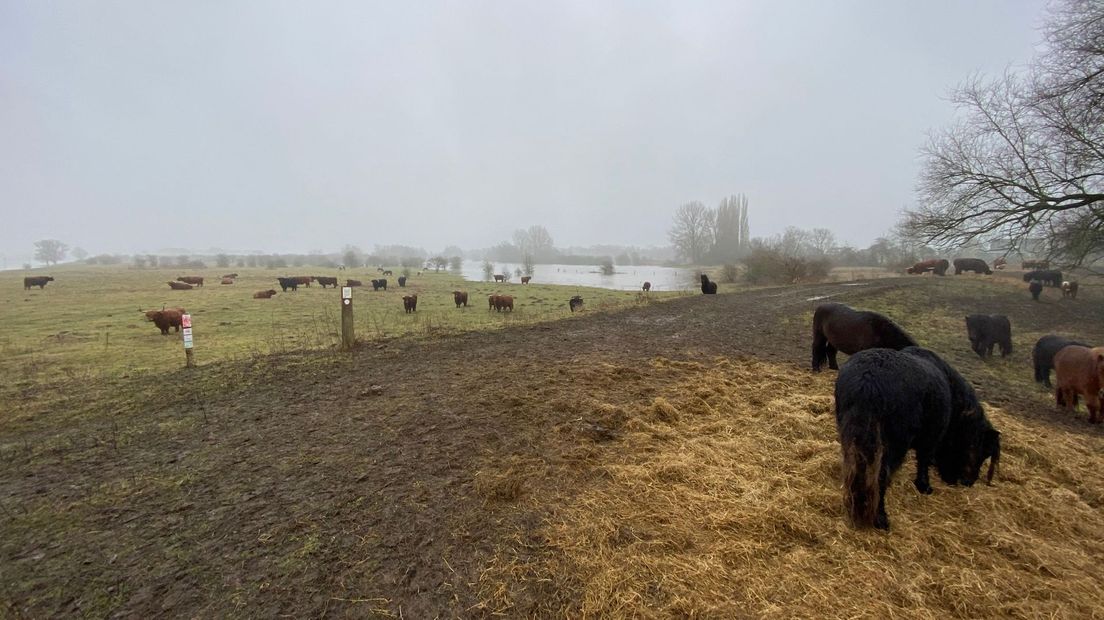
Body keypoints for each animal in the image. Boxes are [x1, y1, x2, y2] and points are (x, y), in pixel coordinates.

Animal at [834, 344, 1002, 529]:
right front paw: (924, 486)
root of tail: (868, 379)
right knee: (880, 477)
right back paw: (880, 518)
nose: (969, 482)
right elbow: (923, 461)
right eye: (983, 452)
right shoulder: (931, 439)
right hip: (893, 446)